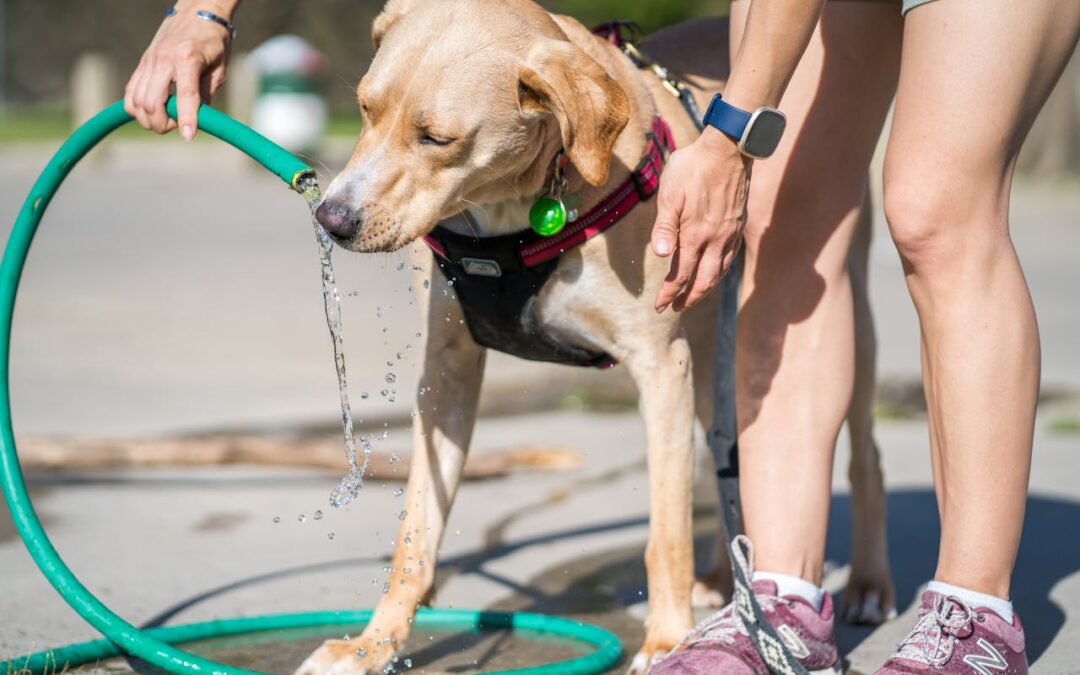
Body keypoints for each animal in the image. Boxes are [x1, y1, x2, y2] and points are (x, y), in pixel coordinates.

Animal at [300, 2, 889, 669]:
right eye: (365, 108)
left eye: (437, 138)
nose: (331, 218)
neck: (519, 211)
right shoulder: (446, 371)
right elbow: (415, 534)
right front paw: (371, 645)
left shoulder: (661, 365)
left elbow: (667, 535)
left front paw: (665, 640)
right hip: (719, 351)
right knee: (727, 451)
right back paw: (724, 580)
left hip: (834, 318)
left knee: (864, 454)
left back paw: (867, 583)